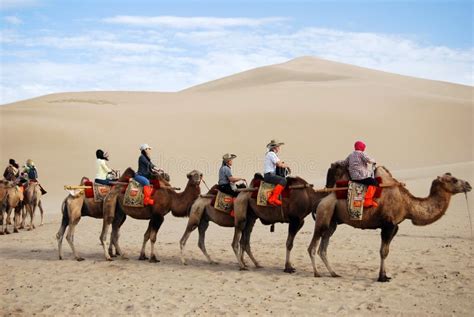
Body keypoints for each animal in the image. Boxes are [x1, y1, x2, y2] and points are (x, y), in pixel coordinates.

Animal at [308, 164, 470, 280]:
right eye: (454, 180)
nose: (469, 184)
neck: (407, 203)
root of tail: (321, 198)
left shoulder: (395, 226)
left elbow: (386, 251)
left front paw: (385, 275)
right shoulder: (388, 224)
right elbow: (383, 252)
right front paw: (382, 277)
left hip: (333, 221)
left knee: (323, 247)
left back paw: (334, 273)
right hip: (324, 212)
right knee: (313, 246)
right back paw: (317, 273)